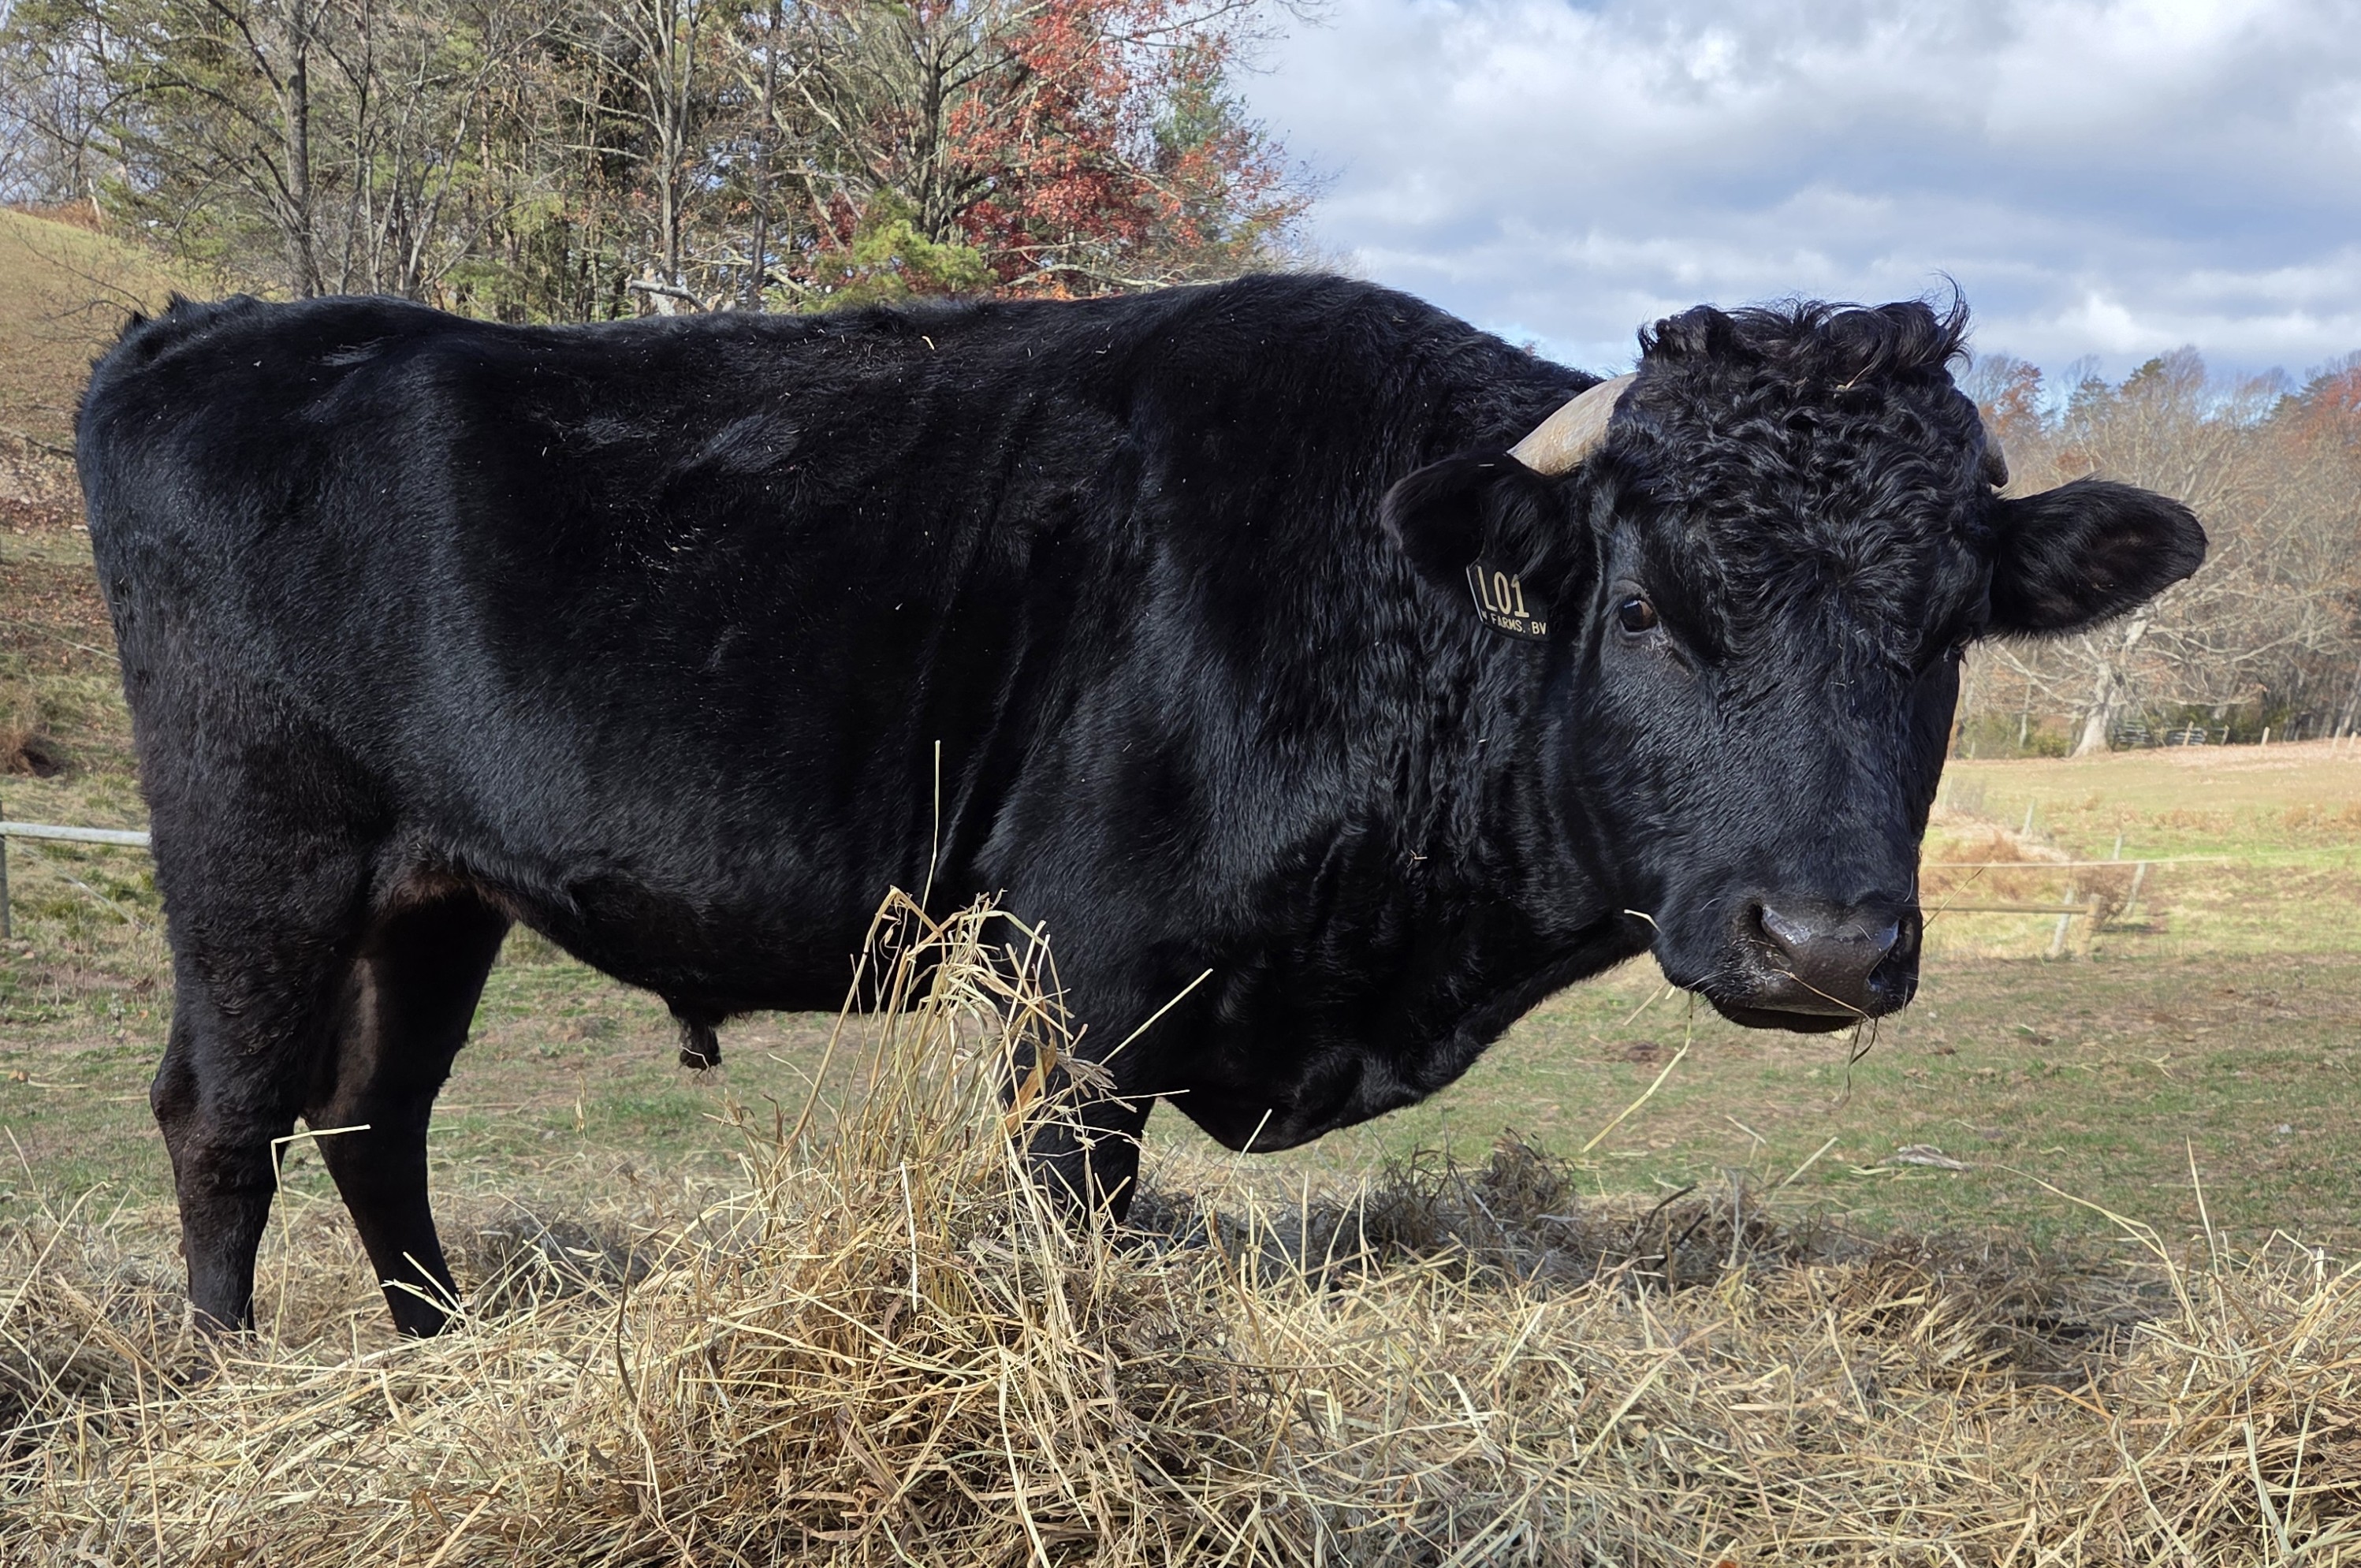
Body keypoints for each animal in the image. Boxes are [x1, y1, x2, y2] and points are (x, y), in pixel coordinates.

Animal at [77, 275, 2203, 1336]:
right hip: (256, 845)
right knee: (222, 1109)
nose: (1822, 941)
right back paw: (235, 1378)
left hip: (431, 891)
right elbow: (1070, 1227)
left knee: (373, 1113)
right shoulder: (1076, 985)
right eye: (1644, 607)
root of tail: (209, 329)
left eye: (1945, 629)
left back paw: (443, 1354)